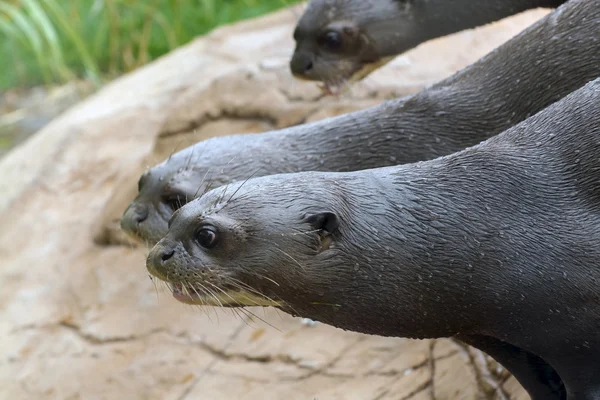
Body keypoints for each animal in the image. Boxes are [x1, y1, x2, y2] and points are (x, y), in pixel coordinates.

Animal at [146, 78, 600, 400]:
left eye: (207, 234)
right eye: (177, 214)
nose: (156, 256)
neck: (487, 229)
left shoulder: (577, 332)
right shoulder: (498, 337)